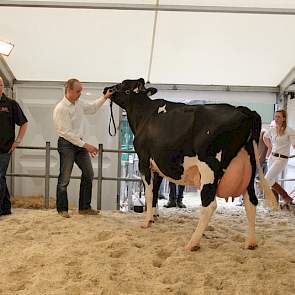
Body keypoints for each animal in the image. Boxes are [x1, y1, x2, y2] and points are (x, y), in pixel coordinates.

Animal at [106, 78, 278, 252]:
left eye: (122, 84)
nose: (106, 89)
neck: (144, 115)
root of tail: (243, 110)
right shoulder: (158, 167)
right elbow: (155, 192)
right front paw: (155, 216)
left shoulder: (144, 160)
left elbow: (149, 192)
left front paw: (147, 221)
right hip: (250, 168)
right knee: (251, 202)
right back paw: (251, 243)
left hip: (209, 167)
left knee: (209, 204)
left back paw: (192, 243)